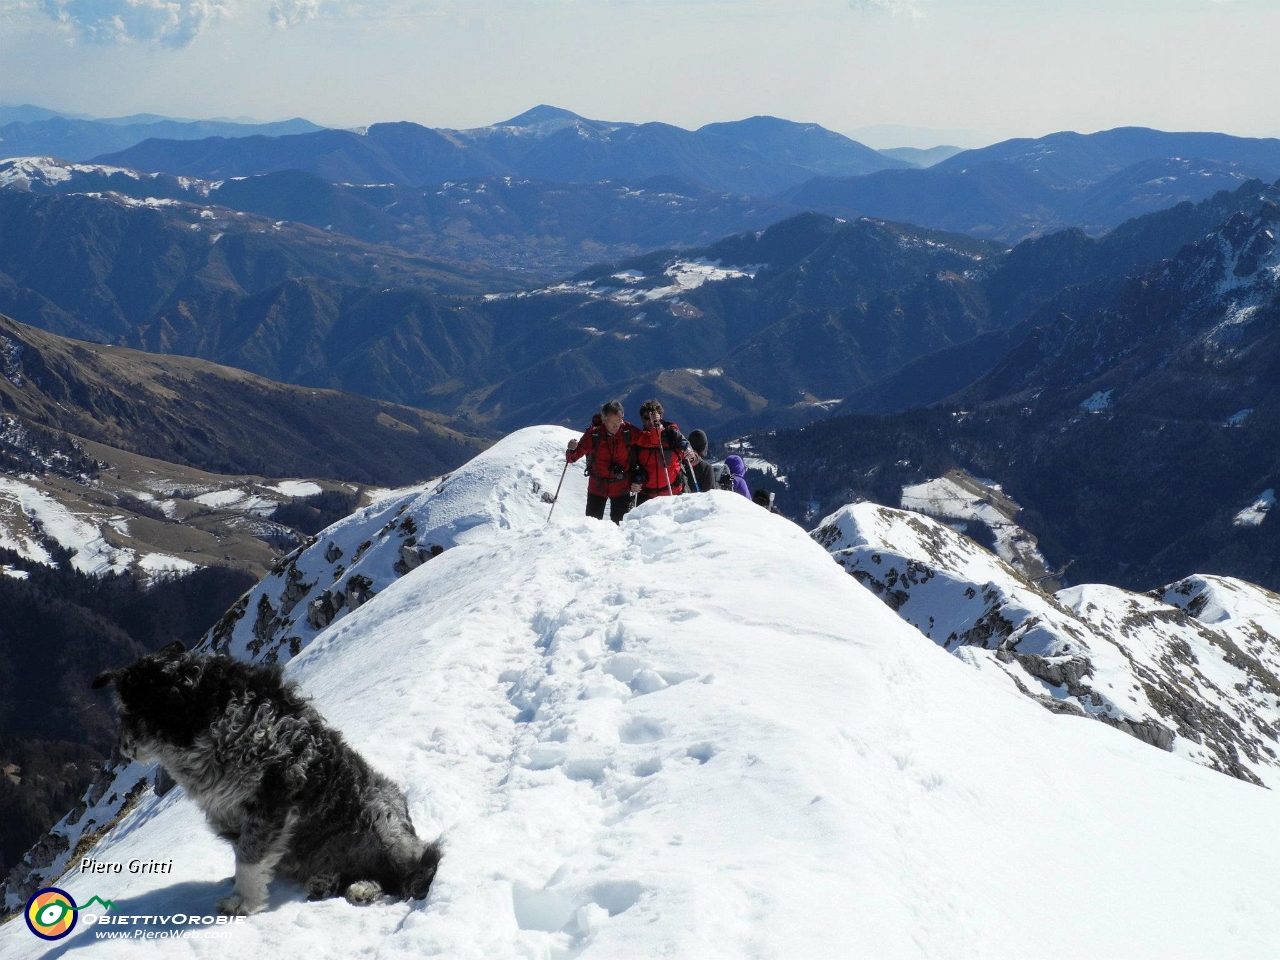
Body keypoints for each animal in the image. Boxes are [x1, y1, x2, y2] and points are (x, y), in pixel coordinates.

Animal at [90, 642, 440, 911]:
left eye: (127, 713)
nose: (123, 751)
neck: (204, 717)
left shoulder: (274, 793)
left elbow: (250, 857)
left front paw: (242, 901)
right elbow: (242, 851)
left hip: (380, 816)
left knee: (414, 871)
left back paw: (370, 886)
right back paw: (336, 883)